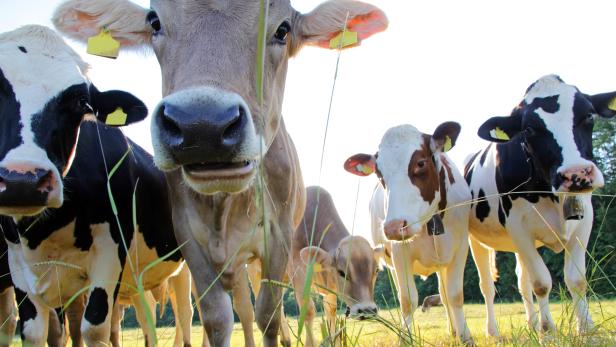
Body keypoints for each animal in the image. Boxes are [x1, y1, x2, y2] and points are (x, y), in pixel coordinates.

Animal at [0, 25, 192, 347]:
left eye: (81, 102)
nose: (21, 180)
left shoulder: (109, 253)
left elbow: (94, 328)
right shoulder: (19, 268)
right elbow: (34, 332)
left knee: (187, 313)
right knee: (147, 315)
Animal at [288, 188, 380, 347]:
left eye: (376, 271)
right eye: (342, 273)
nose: (367, 310)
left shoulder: (330, 289)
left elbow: (331, 313)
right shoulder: (298, 270)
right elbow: (308, 311)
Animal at [344, 121, 474, 342]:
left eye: (420, 163)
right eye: (379, 173)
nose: (394, 227)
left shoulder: (461, 247)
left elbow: (455, 295)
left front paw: (465, 337)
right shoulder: (399, 253)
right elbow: (407, 300)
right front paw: (405, 338)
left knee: (444, 294)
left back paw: (454, 330)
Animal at [464, 74, 612, 338]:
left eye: (588, 115)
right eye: (528, 129)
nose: (576, 174)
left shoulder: (584, 221)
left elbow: (576, 280)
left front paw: (586, 328)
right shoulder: (518, 226)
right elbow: (541, 283)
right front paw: (548, 330)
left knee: (522, 281)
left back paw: (531, 324)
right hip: (477, 241)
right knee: (487, 286)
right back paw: (493, 331)